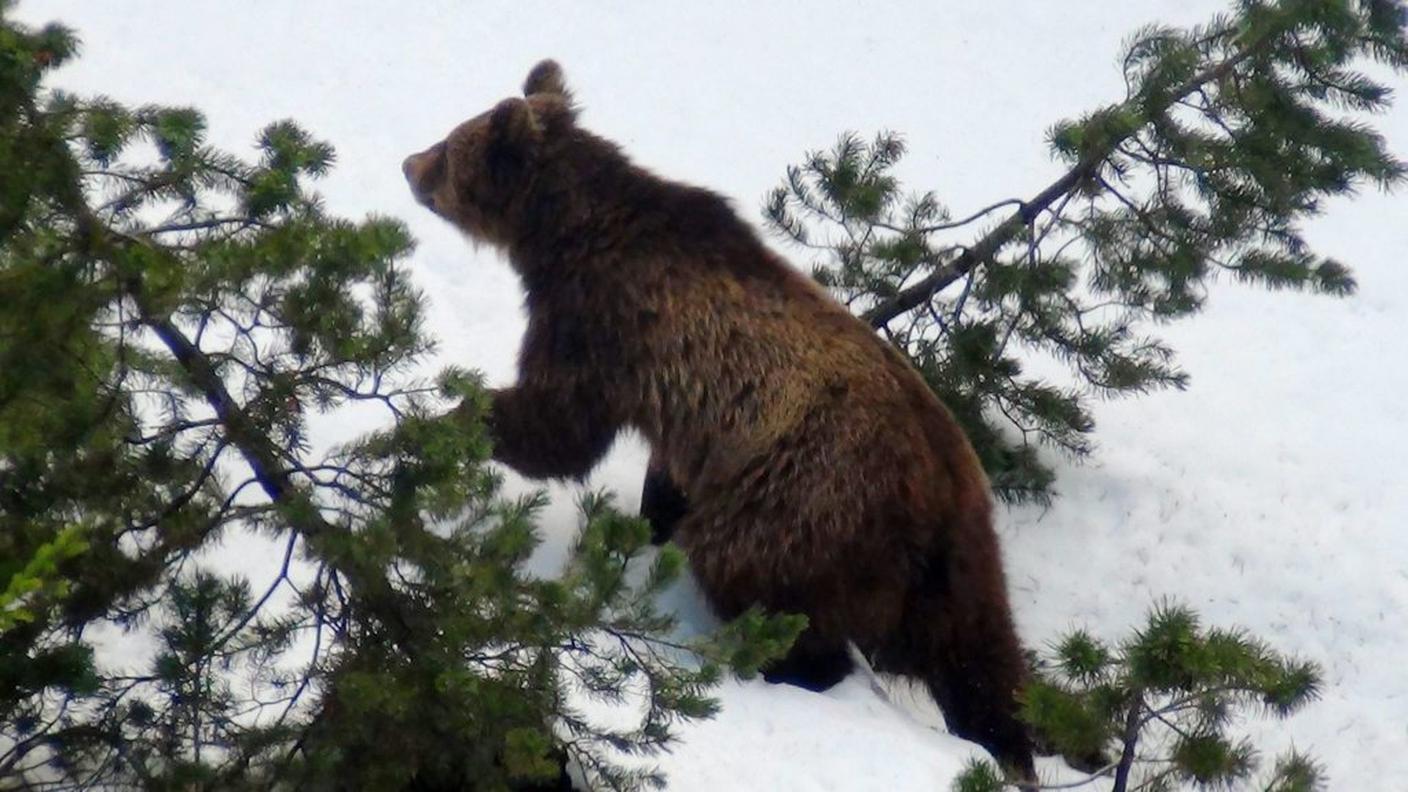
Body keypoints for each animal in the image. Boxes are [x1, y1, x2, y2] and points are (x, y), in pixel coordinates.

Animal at [402, 61, 1041, 777]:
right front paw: (647, 521)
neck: (564, 232)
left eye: (449, 148)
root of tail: (939, 487)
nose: (409, 163)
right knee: (981, 659)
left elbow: (558, 427)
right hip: (961, 559)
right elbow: (656, 472)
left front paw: (439, 421)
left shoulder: (600, 320)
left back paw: (777, 665)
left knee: (755, 574)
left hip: (803, 498)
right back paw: (1009, 745)